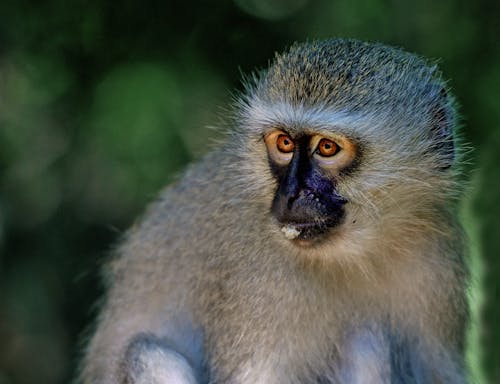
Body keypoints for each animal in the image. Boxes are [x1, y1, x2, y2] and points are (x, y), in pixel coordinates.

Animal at [81, 39, 468, 384]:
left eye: (327, 148)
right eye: (283, 143)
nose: (291, 194)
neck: (354, 253)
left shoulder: (434, 259)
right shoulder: (255, 282)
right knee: (149, 353)